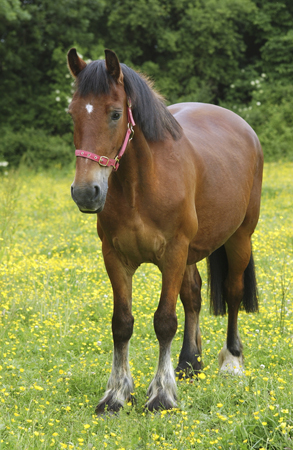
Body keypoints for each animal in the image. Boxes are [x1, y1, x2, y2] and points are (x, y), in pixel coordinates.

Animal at [68, 48, 262, 412]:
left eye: (115, 114)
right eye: (72, 113)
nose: (86, 192)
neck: (141, 185)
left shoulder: (173, 254)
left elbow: (164, 322)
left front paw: (161, 395)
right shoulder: (115, 258)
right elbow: (122, 324)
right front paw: (116, 395)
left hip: (239, 238)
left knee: (232, 292)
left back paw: (231, 361)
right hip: (192, 254)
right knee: (193, 296)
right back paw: (188, 363)